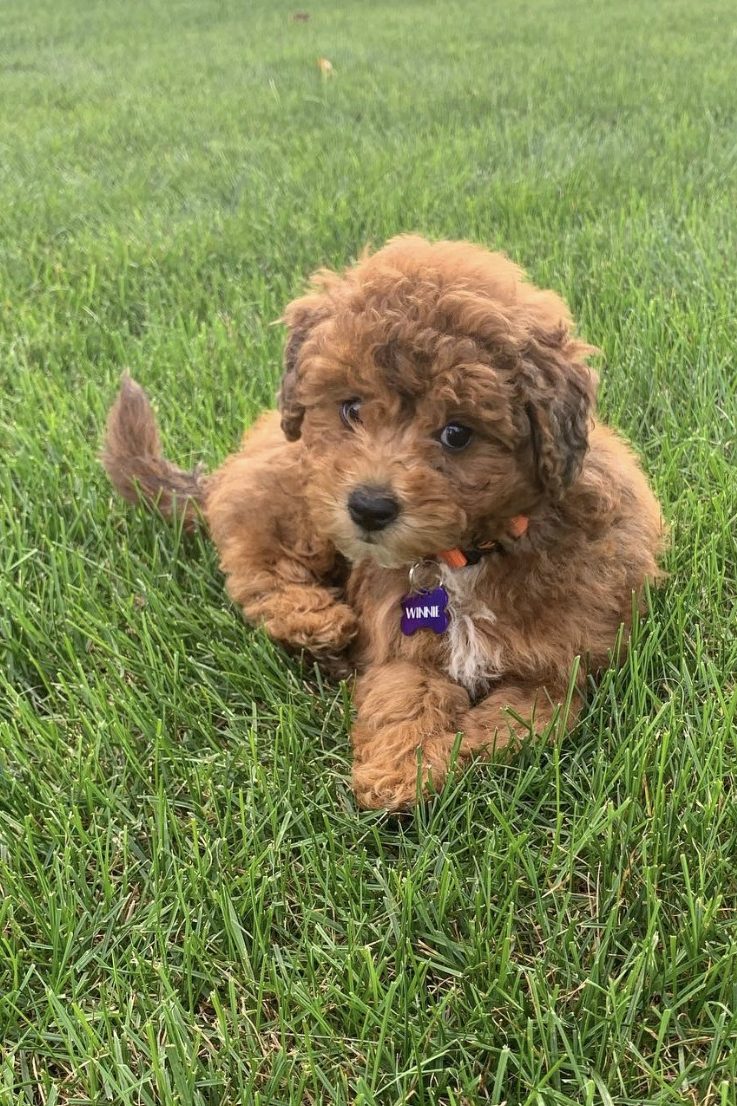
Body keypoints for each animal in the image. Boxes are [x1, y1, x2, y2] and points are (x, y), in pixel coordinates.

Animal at [101, 235, 659, 805]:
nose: (368, 507)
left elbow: (522, 718)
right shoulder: (399, 645)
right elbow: (404, 695)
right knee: (255, 563)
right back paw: (315, 621)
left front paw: (457, 746)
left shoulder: (560, 666)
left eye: (458, 433)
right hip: (299, 495)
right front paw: (400, 768)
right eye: (351, 408)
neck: (465, 557)